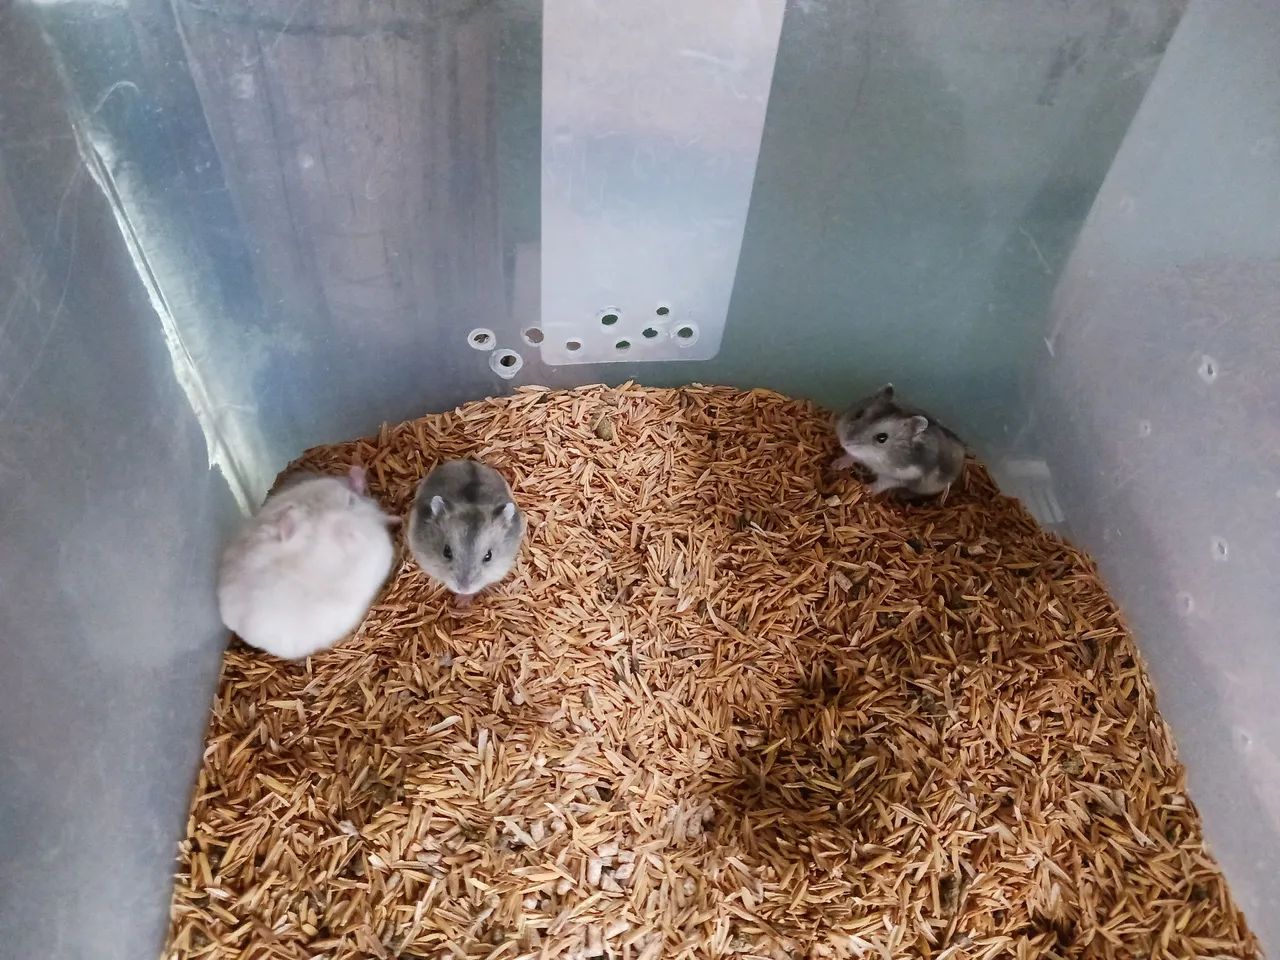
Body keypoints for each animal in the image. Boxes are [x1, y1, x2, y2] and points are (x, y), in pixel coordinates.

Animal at [832, 384, 965, 498]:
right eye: (858, 414)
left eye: (882, 438)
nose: (845, 443)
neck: (876, 457)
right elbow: (851, 456)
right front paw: (835, 465)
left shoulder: (903, 477)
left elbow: (883, 483)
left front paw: (866, 489)